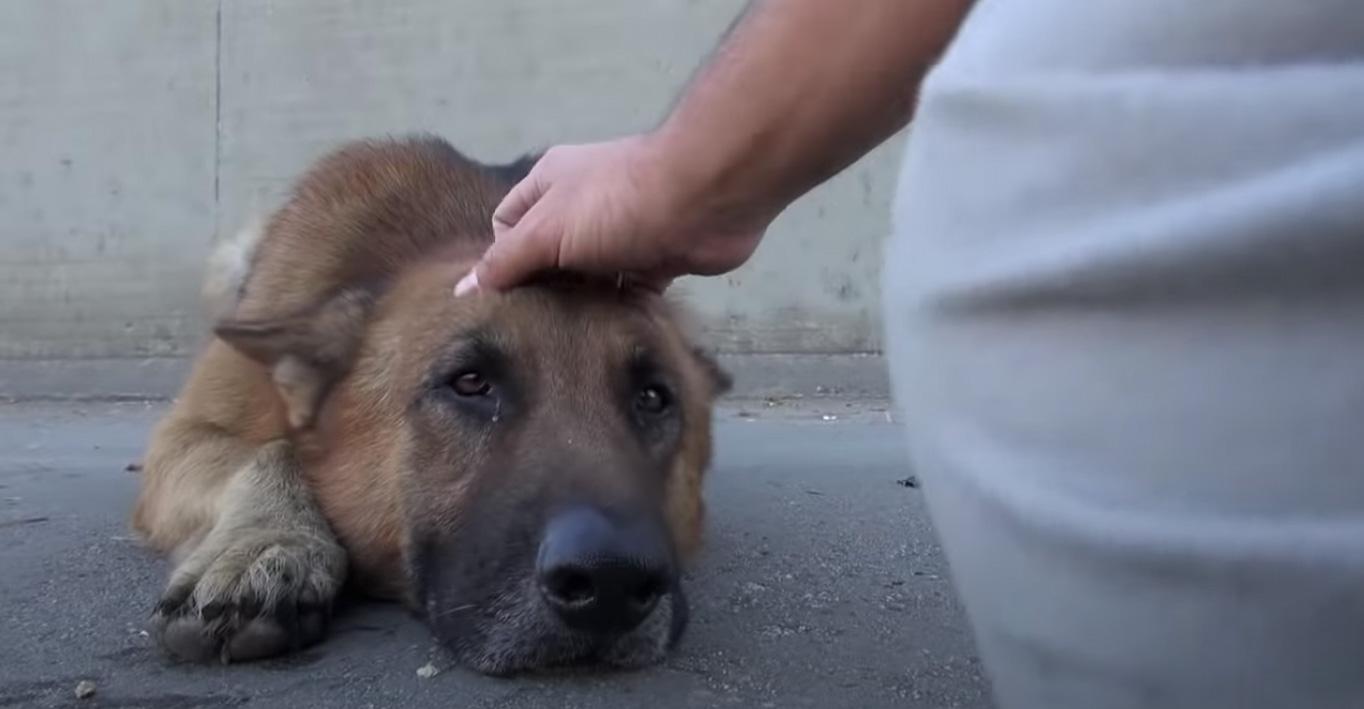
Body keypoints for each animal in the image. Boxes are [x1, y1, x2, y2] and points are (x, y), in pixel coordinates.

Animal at [131, 134, 731, 676]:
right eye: (470, 383)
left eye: (652, 398)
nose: (612, 579)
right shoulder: (187, 433)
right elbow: (267, 452)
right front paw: (268, 544)